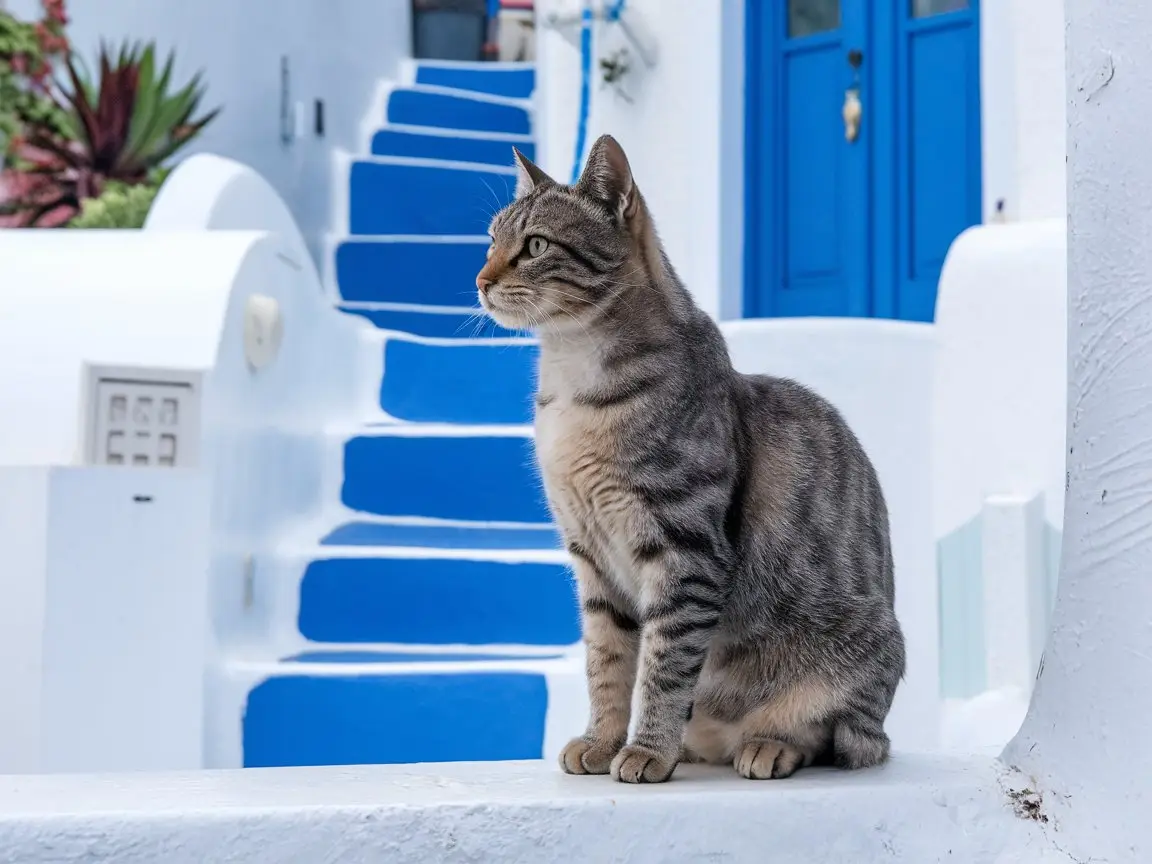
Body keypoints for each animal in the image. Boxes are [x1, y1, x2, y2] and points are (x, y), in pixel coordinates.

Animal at [472, 133, 903, 783]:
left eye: (536, 245)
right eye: (491, 240)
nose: (478, 279)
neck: (573, 380)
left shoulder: (684, 550)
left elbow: (664, 668)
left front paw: (647, 749)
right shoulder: (591, 559)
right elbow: (607, 665)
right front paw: (601, 741)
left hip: (861, 658)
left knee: (830, 736)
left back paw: (764, 745)